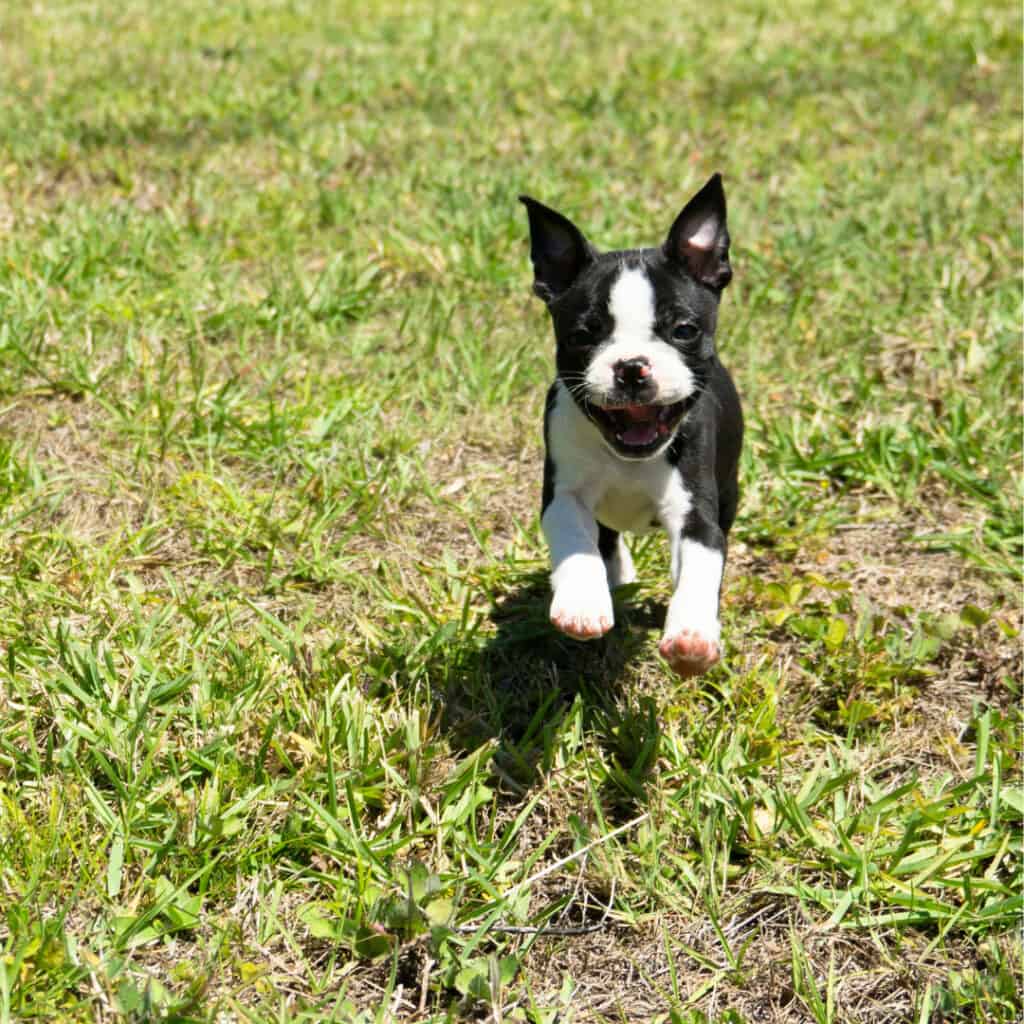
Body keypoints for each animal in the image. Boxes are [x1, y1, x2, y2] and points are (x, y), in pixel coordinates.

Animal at [520, 172, 745, 675]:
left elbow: (701, 566)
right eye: (582, 336)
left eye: (684, 330)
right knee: (606, 539)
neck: (628, 457)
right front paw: (583, 603)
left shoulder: (698, 512)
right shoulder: (563, 494)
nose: (631, 367)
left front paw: (692, 634)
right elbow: (577, 541)